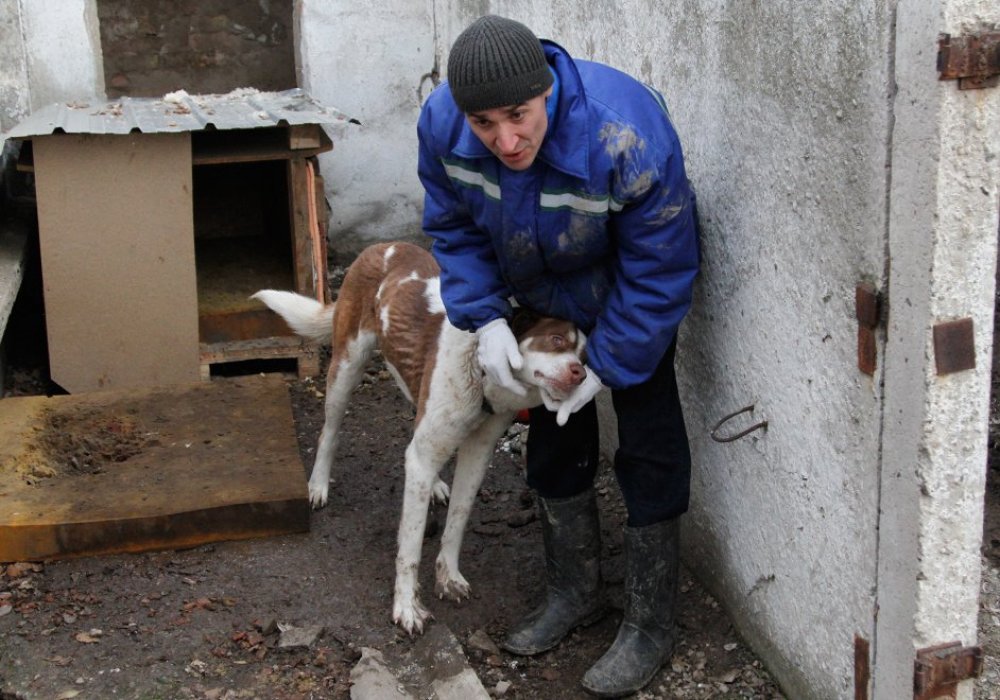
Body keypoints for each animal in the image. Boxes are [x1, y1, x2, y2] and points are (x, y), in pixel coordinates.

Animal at [250, 242, 588, 636]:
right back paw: (318, 484)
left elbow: (457, 520)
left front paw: (448, 576)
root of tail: (384, 246)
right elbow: (409, 547)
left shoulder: (478, 451)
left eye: (584, 356)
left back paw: (436, 483)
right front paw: (407, 607)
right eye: (556, 340)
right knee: (329, 432)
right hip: (347, 366)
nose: (580, 374)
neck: (481, 372)